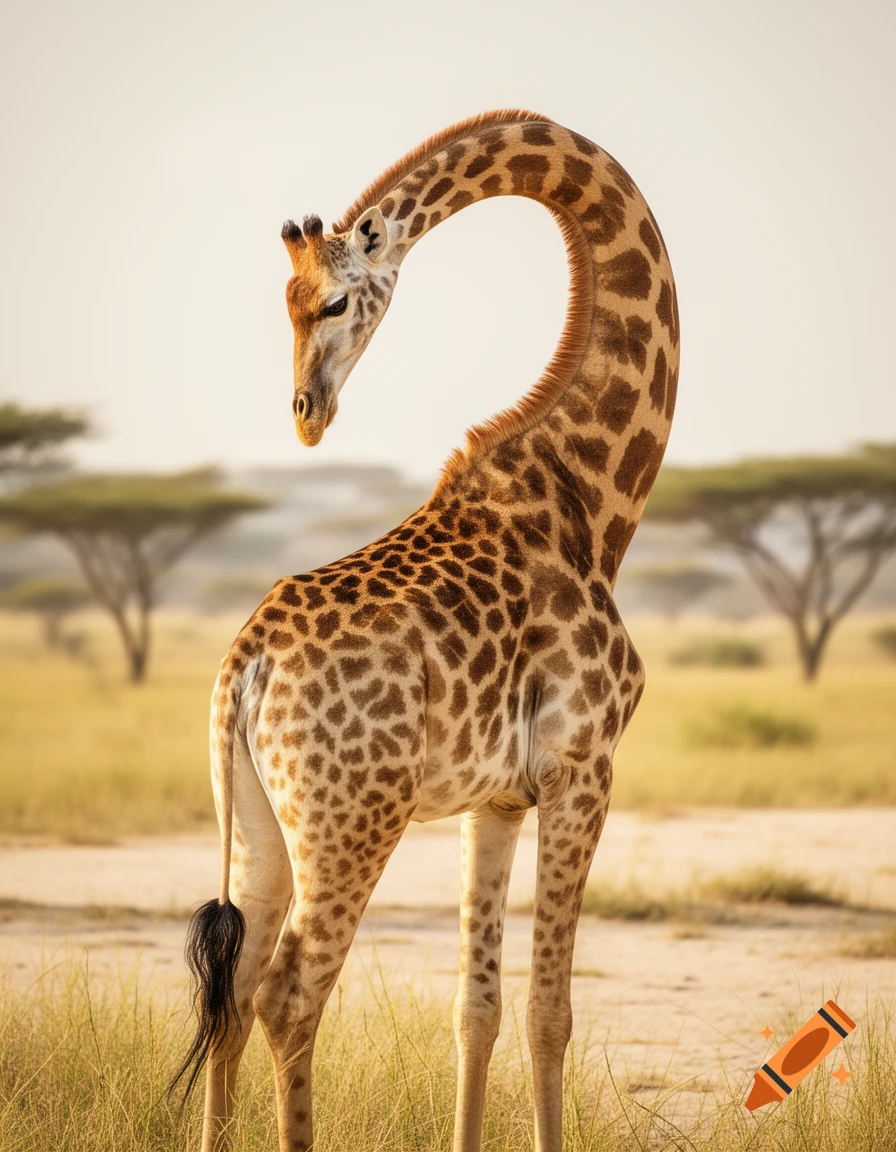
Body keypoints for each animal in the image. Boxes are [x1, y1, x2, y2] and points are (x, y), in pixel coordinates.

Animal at [174, 109, 679, 1152]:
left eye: (326, 302)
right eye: (292, 304)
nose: (309, 415)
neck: (592, 498)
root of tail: (247, 665)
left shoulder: (497, 799)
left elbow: (476, 1008)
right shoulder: (584, 767)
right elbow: (550, 1011)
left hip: (258, 824)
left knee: (231, 994)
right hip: (352, 822)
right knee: (289, 995)